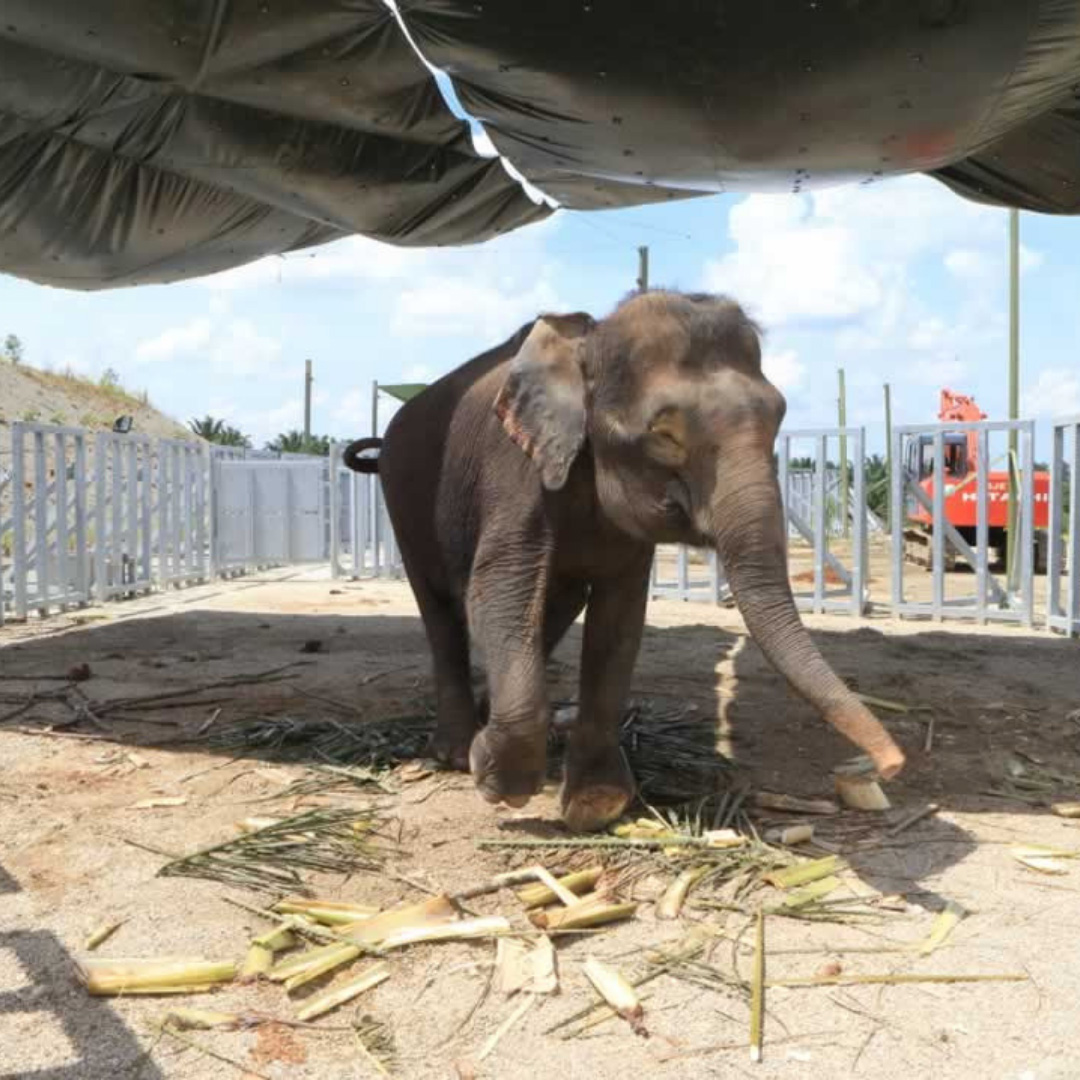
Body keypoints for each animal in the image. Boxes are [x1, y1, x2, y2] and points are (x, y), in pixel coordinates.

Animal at [345, 290, 904, 832]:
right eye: (665, 434)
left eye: (779, 418)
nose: (889, 764)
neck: (588, 343)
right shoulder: (515, 471)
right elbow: (499, 592)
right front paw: (499, 782)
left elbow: (619, 619)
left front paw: (596, 805)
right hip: (404, 498)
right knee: (441, 609)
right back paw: (457, 752)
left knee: (553, 606)